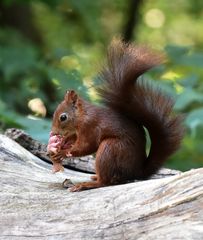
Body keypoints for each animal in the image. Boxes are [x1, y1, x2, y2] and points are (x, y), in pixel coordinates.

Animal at [47, 39, 184, 193]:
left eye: (63, 117)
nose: (53, 132)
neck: (82, 116)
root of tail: (135, 172)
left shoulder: (90, 127)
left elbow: (86, 146)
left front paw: (63, 152)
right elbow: (74, 139)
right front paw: (62, 143)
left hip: (110, 149)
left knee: (106, 182)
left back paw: (87, 184)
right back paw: (94, 177)